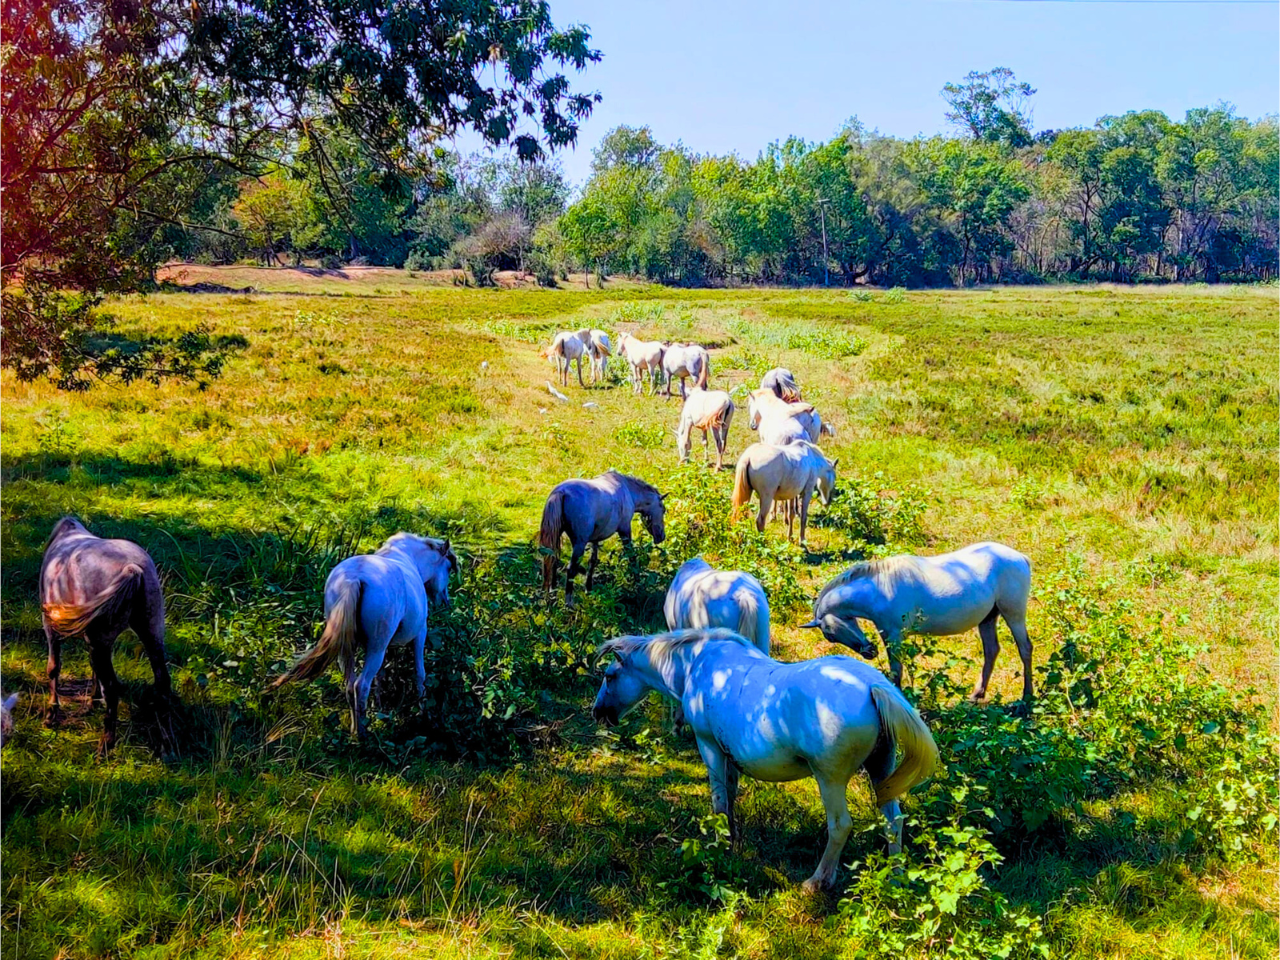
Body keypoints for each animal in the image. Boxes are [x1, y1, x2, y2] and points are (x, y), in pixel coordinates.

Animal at [40, 519, 175, 757]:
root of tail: (133, 569)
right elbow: (93, 671)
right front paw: (92, 703)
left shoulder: (51, 628)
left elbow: (54, 668)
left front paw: (51, 715)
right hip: (152, 635)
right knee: (162, 683)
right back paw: (166, 744)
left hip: (102, 640)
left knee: (111, 686)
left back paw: (105, 746)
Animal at [267, 535, 458, 737]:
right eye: (448, 568)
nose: (445, 602)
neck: (405, 556)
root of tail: (354, 578)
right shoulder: (420, 634)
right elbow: (420, 674)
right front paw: (423, 713)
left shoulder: (386, 646)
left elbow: (381, 676)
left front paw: (381, 709)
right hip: (376, 649)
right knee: (361, 685)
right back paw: (363, 733)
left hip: (348, 650)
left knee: (351, 686)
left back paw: (355, 730)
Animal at [537, 471, 665, 601]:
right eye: (663, 510)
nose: (661, 536)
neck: (627, 490)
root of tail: (562, 491)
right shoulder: (624, 530)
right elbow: (632, 557)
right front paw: (637, 582)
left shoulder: (595, 538)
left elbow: (592, 561)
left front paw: (588, 588)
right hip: (579, 544)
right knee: (571, 569)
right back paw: (569, 602)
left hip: (557, 538)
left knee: (553, 560)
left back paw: (552, 591)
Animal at [591, 632, 942, 896]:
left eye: (609, 676)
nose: (598, 713)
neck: (697, 665)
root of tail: (873, 686)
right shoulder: (729, 753)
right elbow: (730, 795)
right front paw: (732, 838)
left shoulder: (709, 746)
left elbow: (719, 800)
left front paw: (719, 846)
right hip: (881, 769)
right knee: (893, 821)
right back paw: (896, 877)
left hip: (830, 779)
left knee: (841, 826)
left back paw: (817, 882)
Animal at [803, 542, 1034, 706]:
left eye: (830, 636)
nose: (870, 652)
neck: (880, 589)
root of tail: (1021, 558)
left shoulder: (894, 637)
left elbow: (896, 672)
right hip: (987, 619)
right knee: (991, 651)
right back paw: (976, 695)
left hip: (1013, 614)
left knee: (1025, 649)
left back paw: (1026, 699)